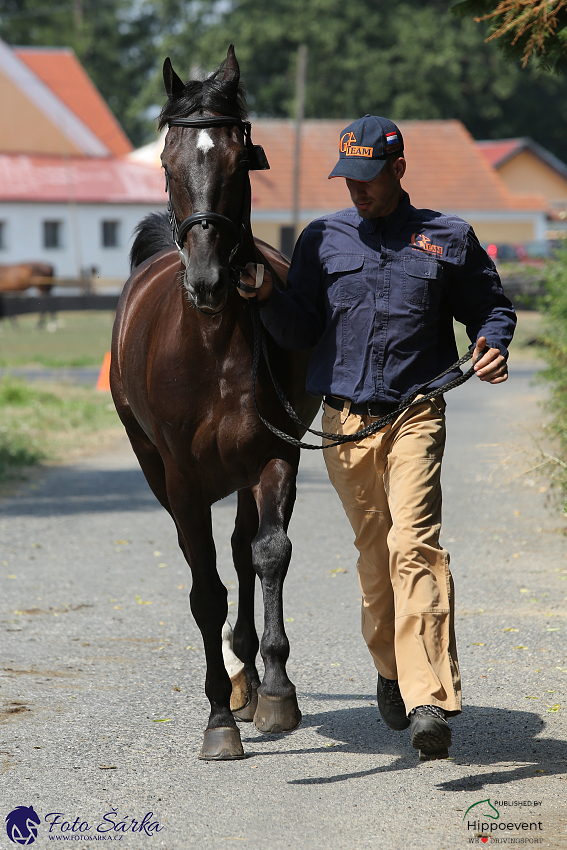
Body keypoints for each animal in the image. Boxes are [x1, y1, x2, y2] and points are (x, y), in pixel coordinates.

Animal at [109, 43, 322, 760]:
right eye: (168, 164)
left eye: (238, 159)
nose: (206, 281)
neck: (212, 347)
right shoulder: (180, 476)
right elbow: (204, 589)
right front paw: (218, 721)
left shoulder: (274, 456)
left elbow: (269, 554)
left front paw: (276, 691)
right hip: (165, 474)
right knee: (205, 558)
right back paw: (234, 685)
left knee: (242, 549)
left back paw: (251, 678)